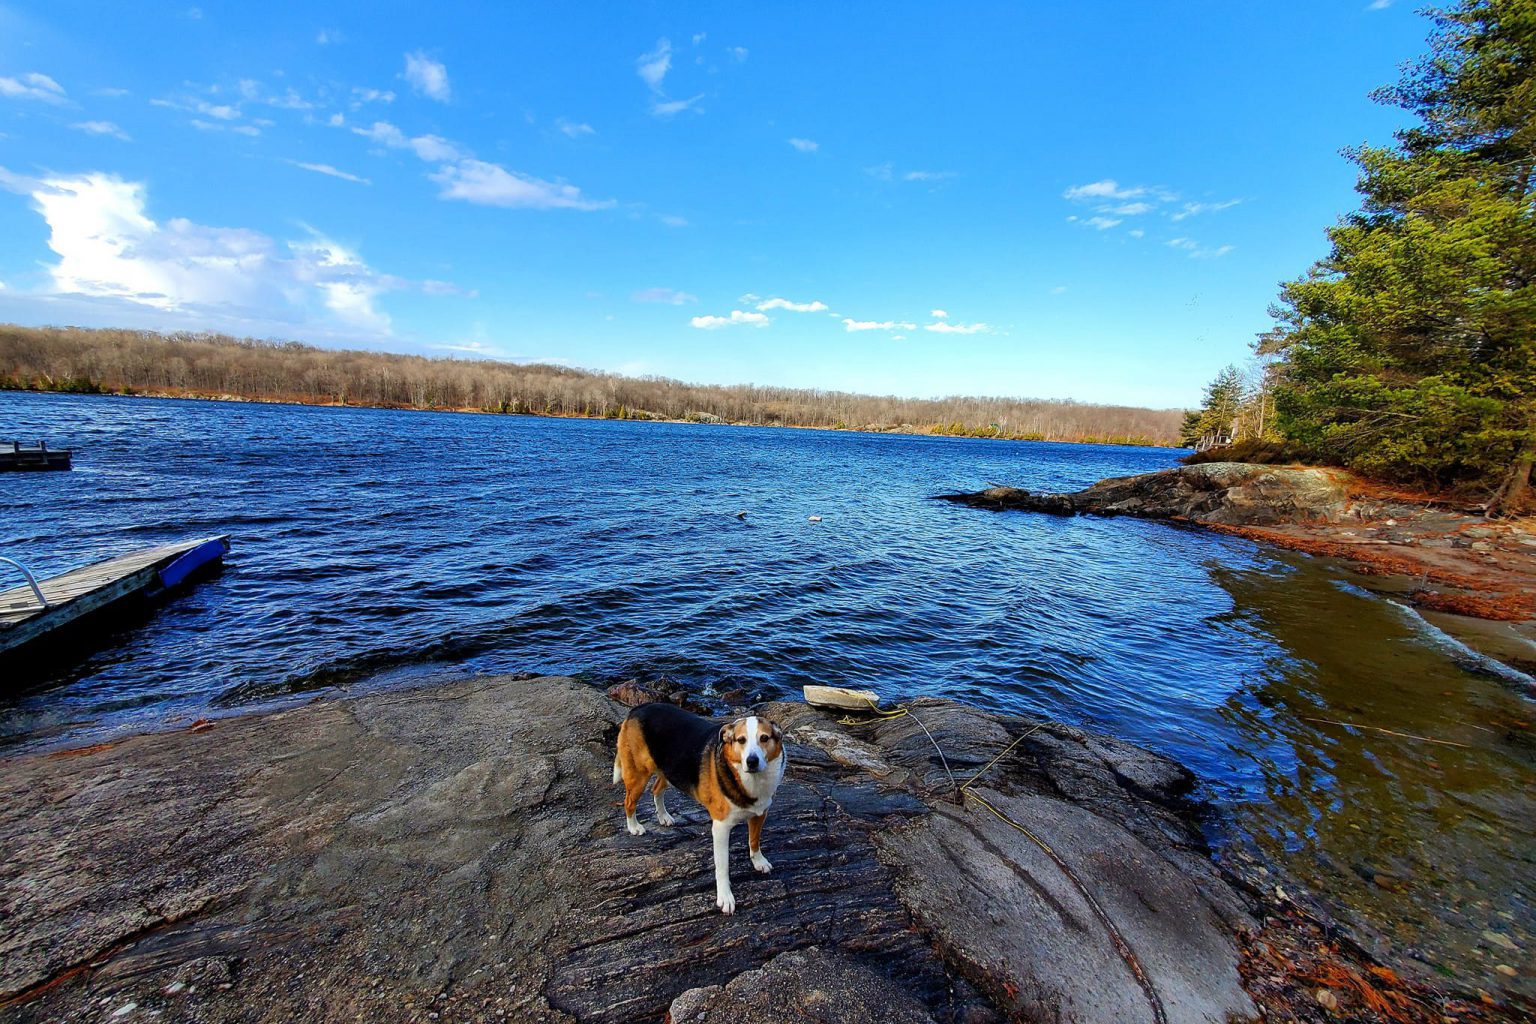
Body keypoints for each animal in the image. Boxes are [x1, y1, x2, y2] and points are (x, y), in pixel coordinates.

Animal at [611, 706, 786, 914]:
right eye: (741, 740)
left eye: (764, 738)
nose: (752, 761)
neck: (749, 780)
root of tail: (637, 709)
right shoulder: (720, 828)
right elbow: (722, 866)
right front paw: (725, 897)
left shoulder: (760, 814)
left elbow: (754, 840)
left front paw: (758, 861)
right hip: (638, 774)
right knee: (629, 801)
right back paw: (634, 826)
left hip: (670, 770)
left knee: (656, 789)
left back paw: (663, 816)